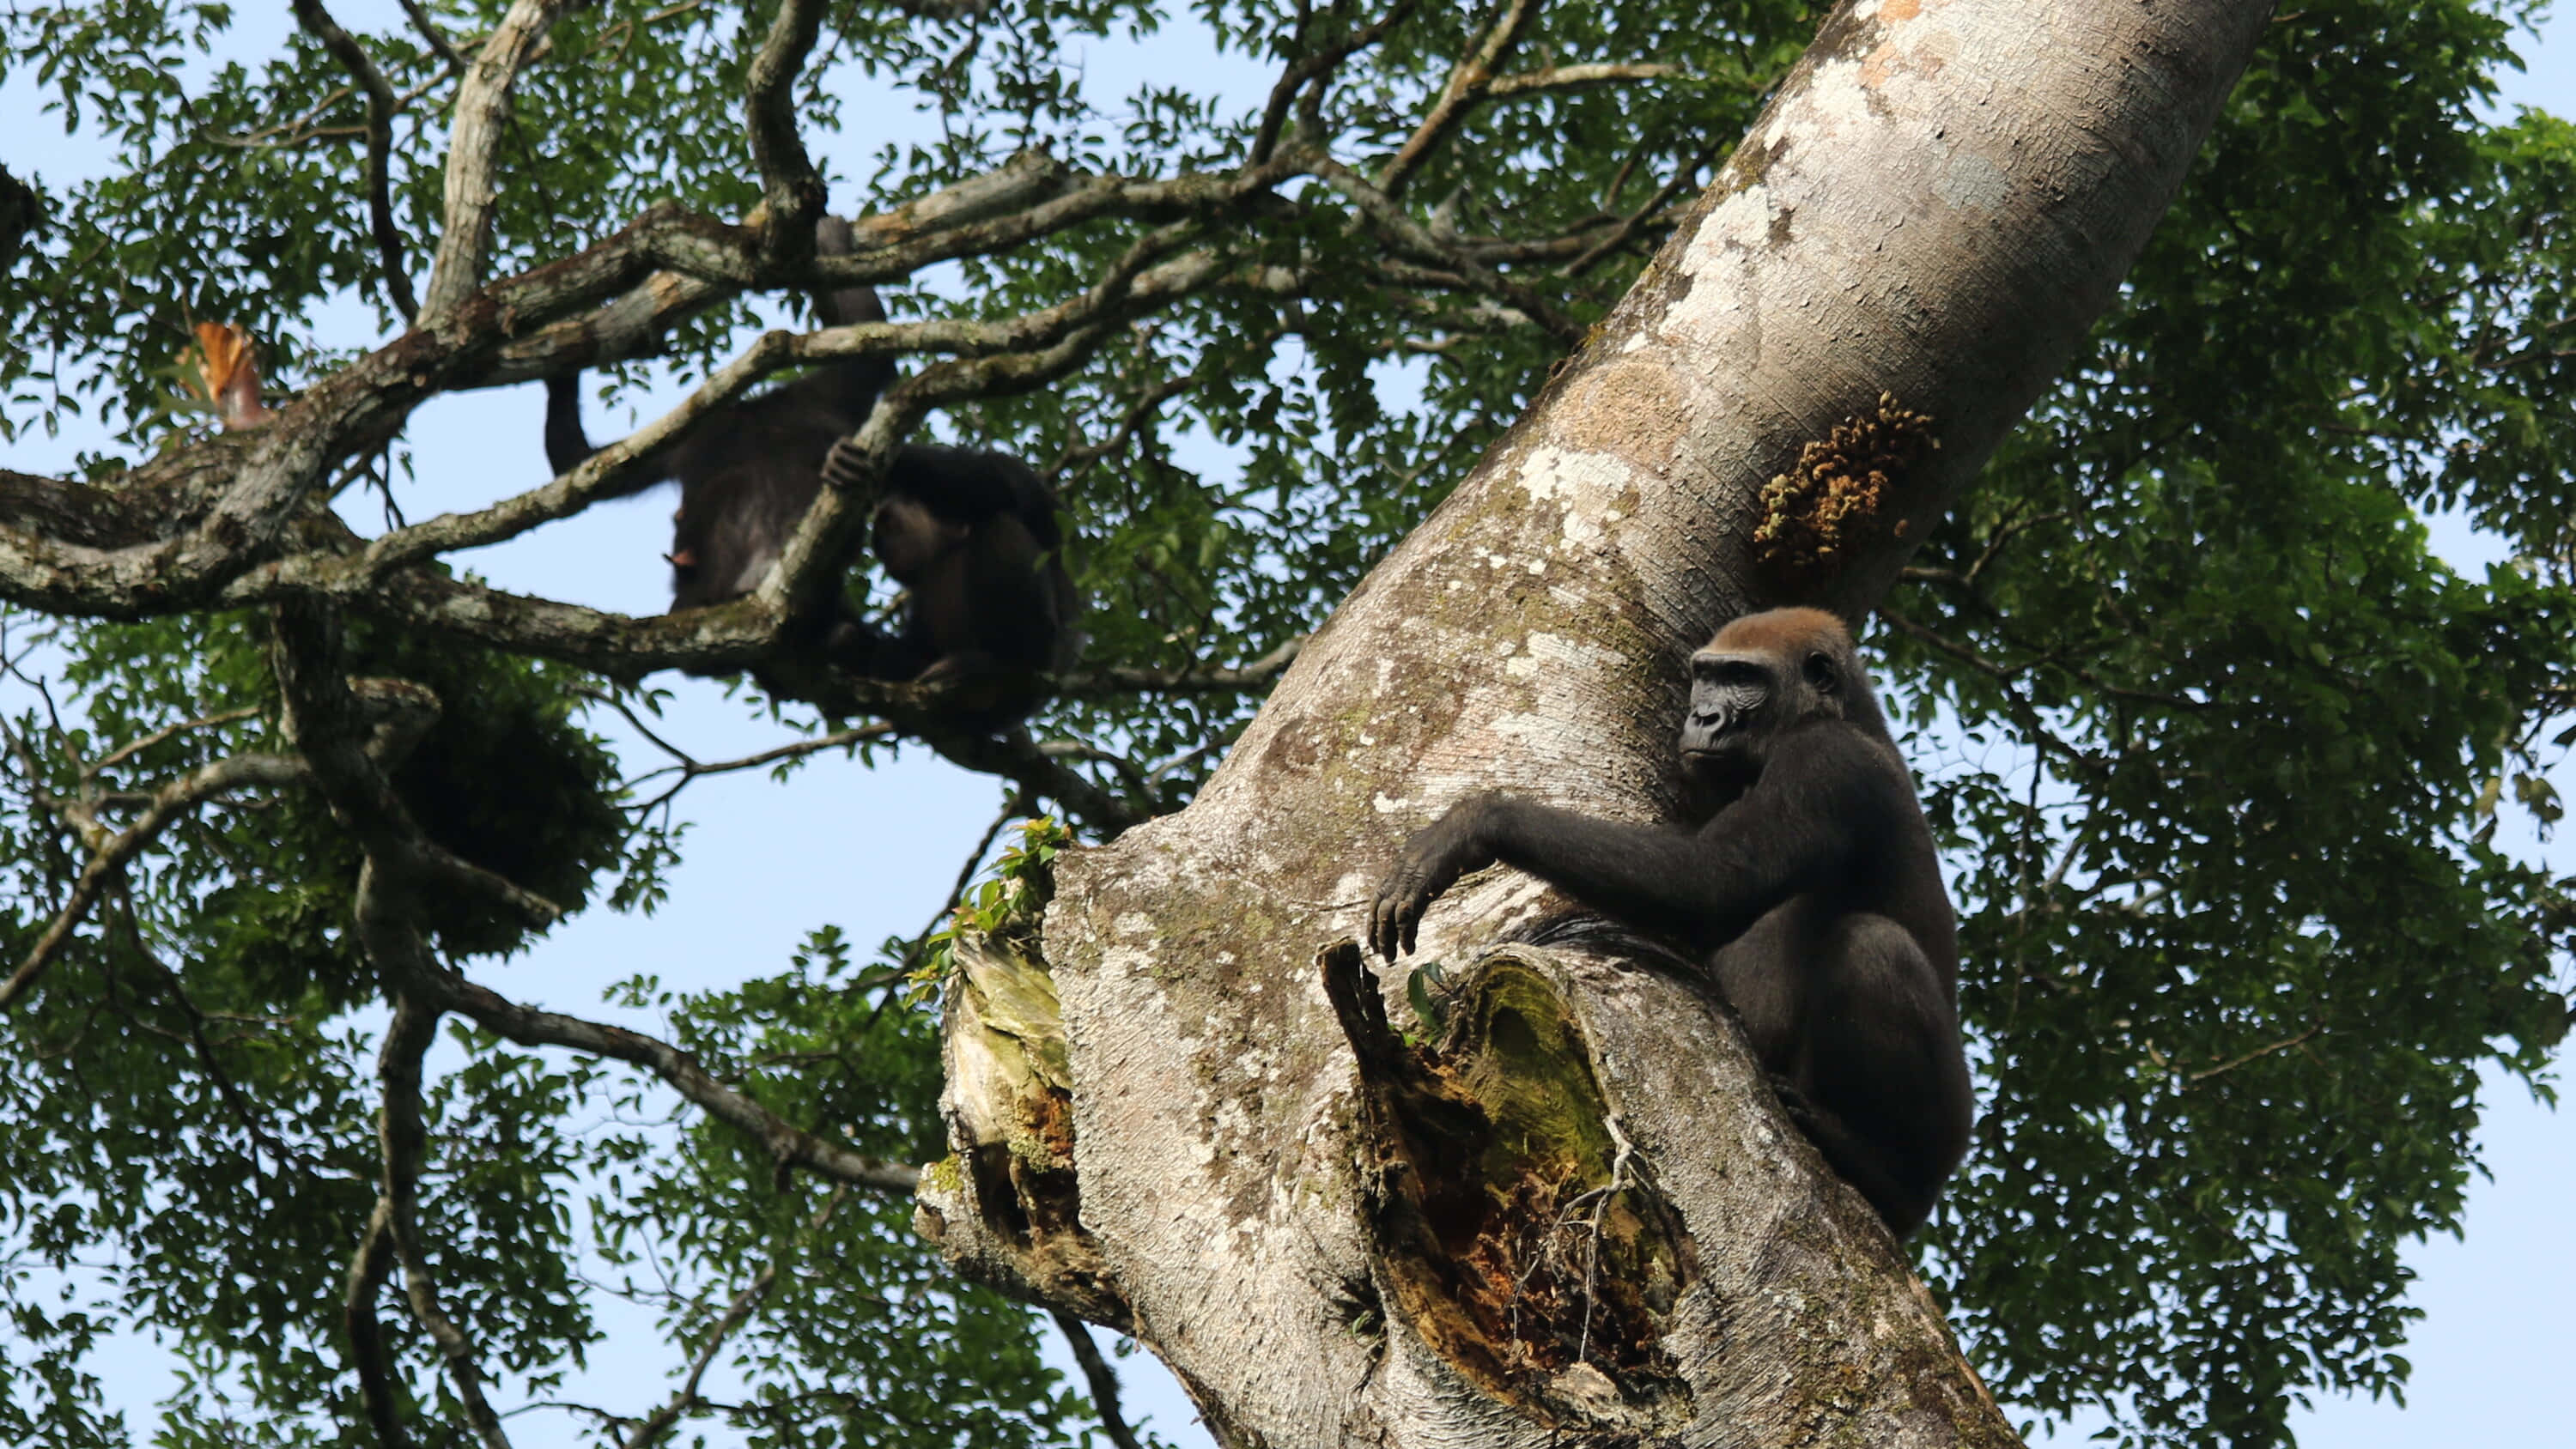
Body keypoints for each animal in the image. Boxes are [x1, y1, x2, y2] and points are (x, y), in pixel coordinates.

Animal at [1369, 607, 1972, 1237]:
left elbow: (1711, 881)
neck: (1843, 713)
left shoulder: (1826, 760)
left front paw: (1477, 823)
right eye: (1706, 676)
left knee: (1874, 947)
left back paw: (1883, 1172)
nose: (1701, 716)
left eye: (1743, 678)